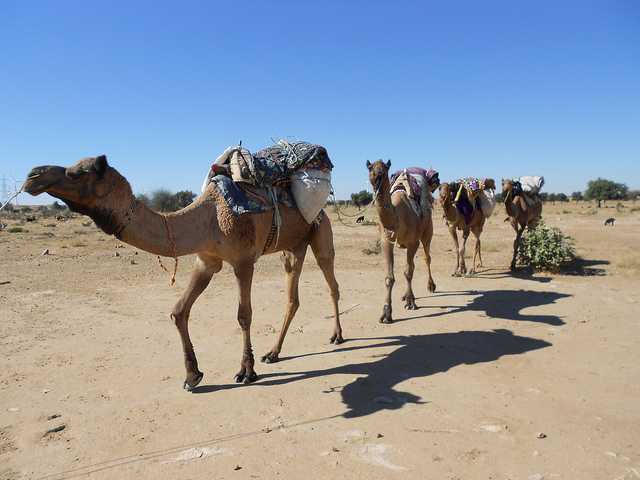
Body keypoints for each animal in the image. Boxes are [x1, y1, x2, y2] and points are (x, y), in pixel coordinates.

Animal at [23, 156, 344, 392]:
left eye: (79, 172)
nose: (33, 175)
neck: (210, 217)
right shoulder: (207, 261)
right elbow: (179, 311)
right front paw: (193, 376)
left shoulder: (243, 262)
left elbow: (243, 315)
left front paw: (246, 371)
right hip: (292, 246)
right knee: (292, 296)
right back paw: (273, 352)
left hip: (320, 231)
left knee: (331, 282)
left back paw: (337, 336)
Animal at [368, 159, 438, 324]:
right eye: (369, 168)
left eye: (385, 169)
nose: (377, 175)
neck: (398, 216)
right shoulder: (386, 241)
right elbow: (389, 278)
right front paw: (386, 313)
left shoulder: (413, 242)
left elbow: (408, 272)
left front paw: (411, 302)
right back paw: (405, 295)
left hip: (427, 232)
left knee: (426, 258)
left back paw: (430, 286)